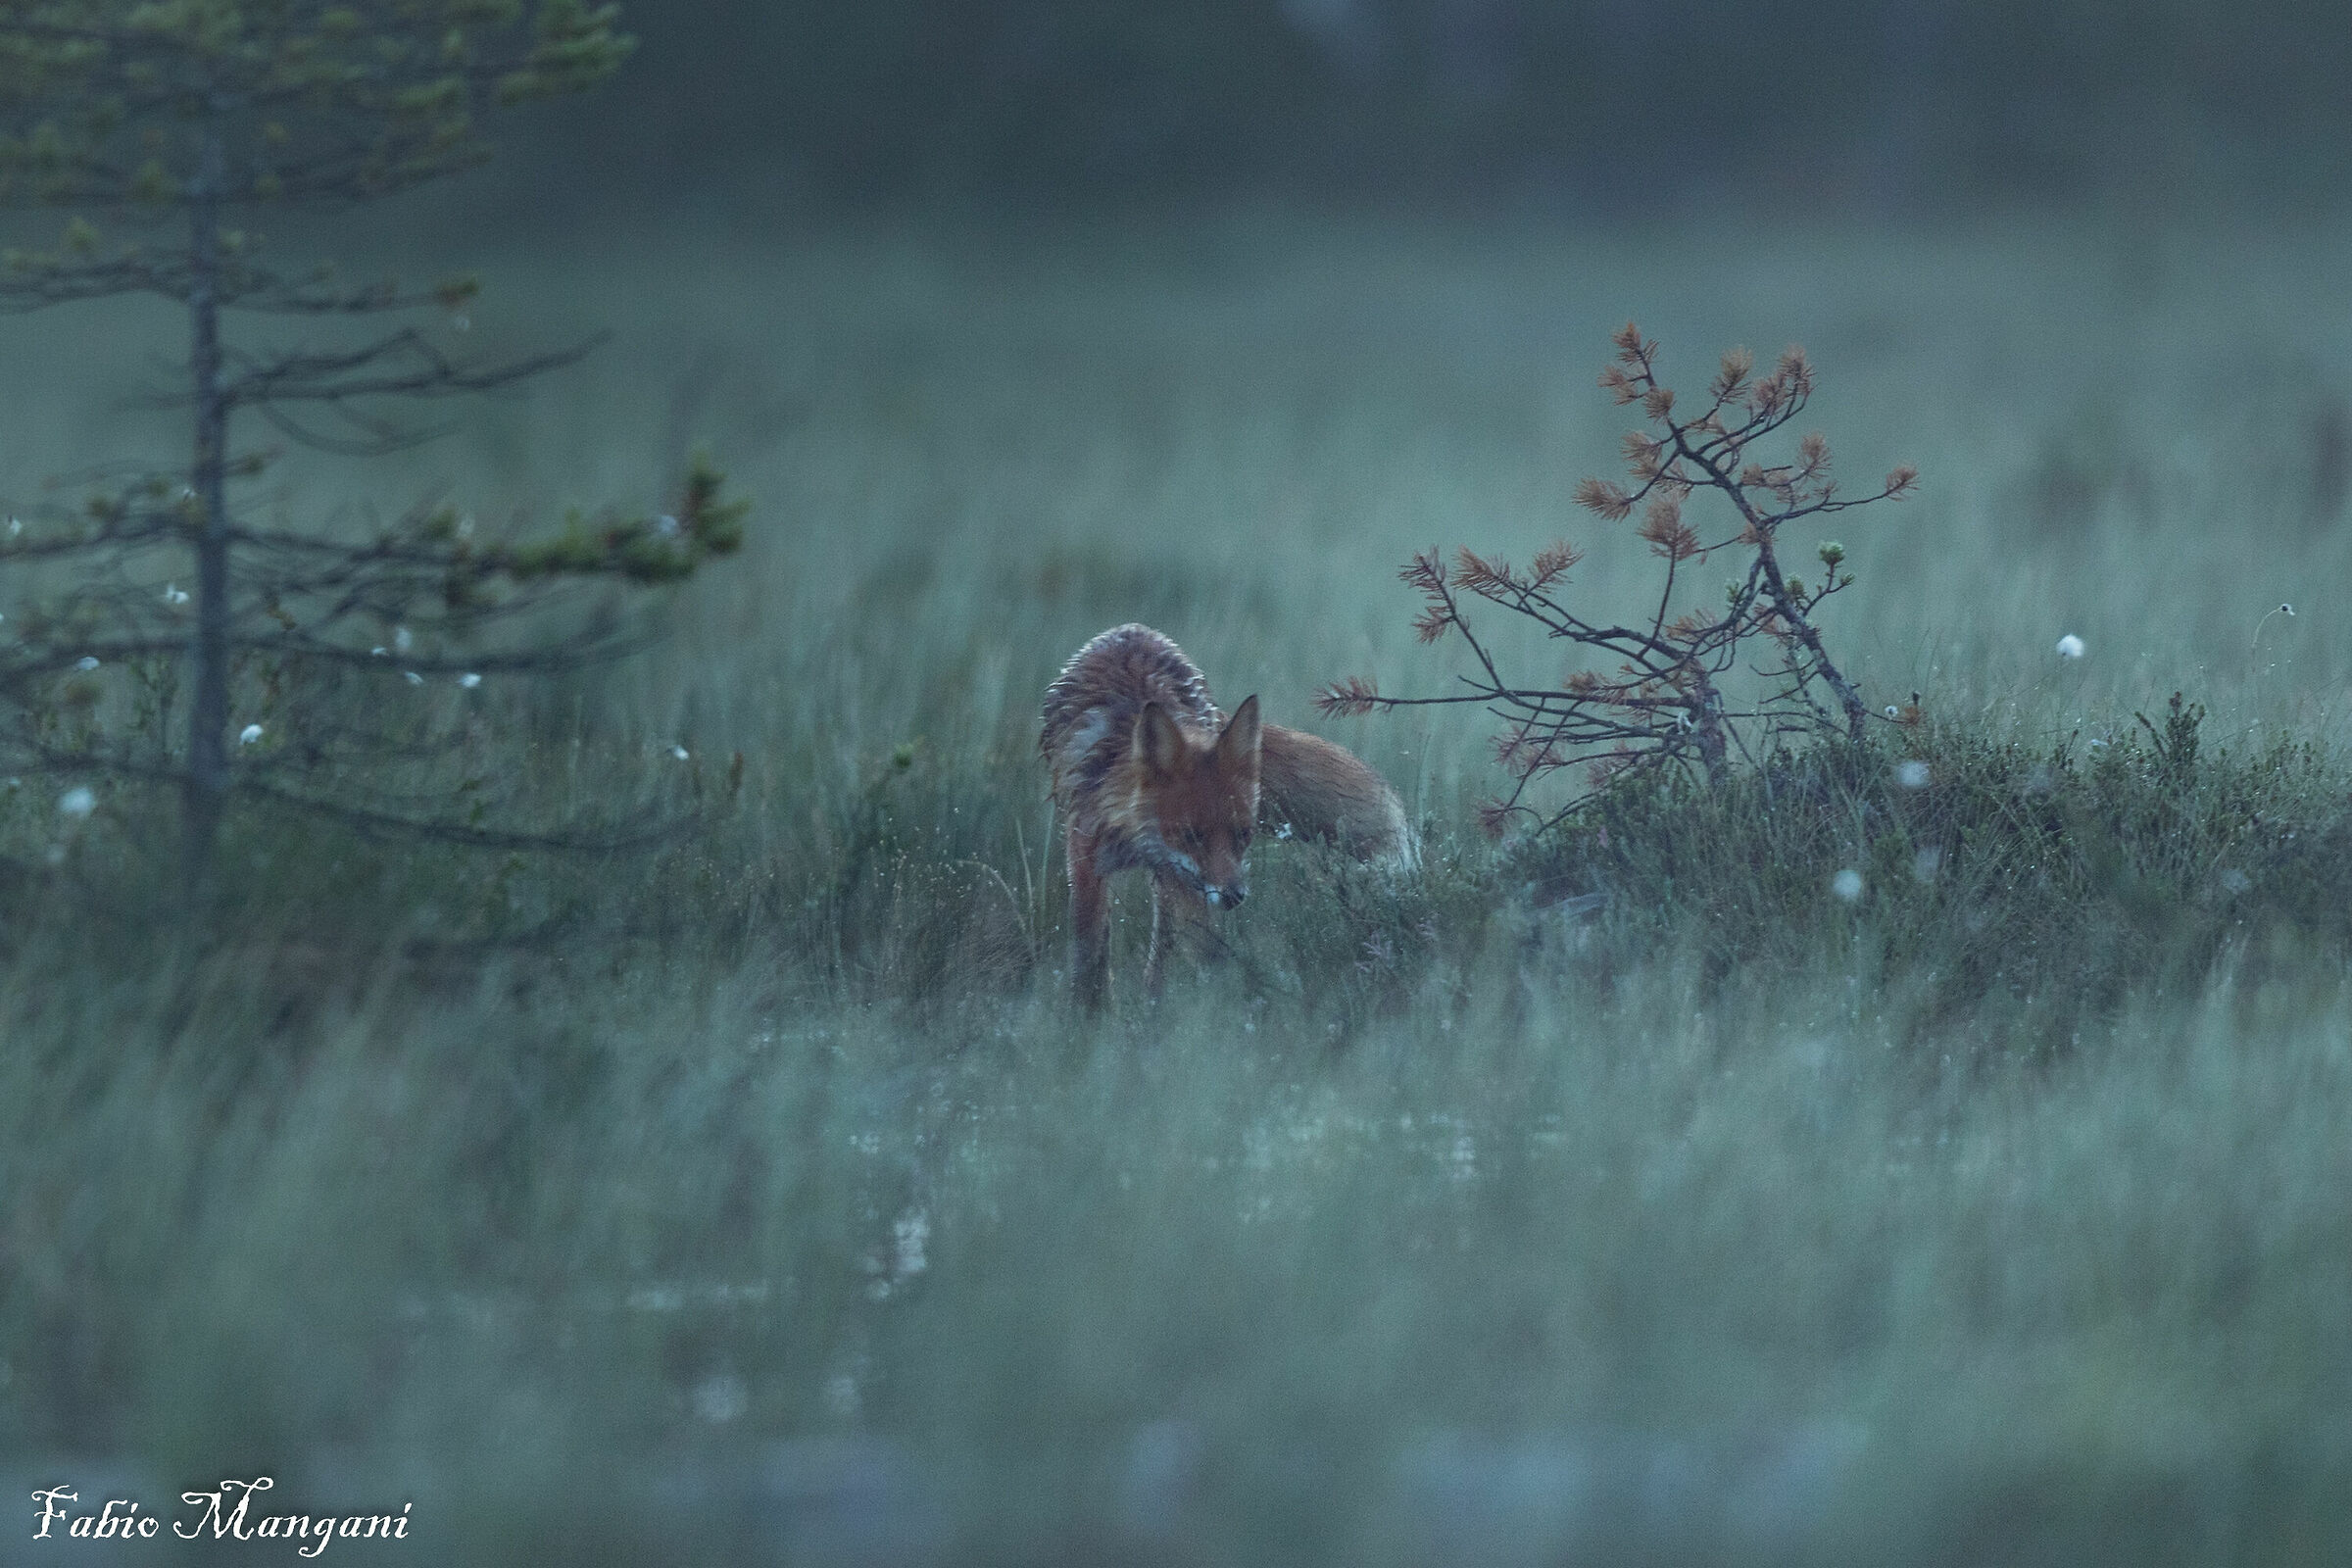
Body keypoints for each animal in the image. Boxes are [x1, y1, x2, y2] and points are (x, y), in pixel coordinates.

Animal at [1040, 623, 1410, 1006]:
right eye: (1191, 835)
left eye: (1244, 834)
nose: (1234, 896)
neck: (1133, 836)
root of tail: (1132, 628)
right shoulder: (1087, 861)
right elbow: (1090, 961)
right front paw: (1087, 1015)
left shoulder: (1180, 875)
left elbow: (1202, 950)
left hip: (1174, 881)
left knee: (1163, 951)